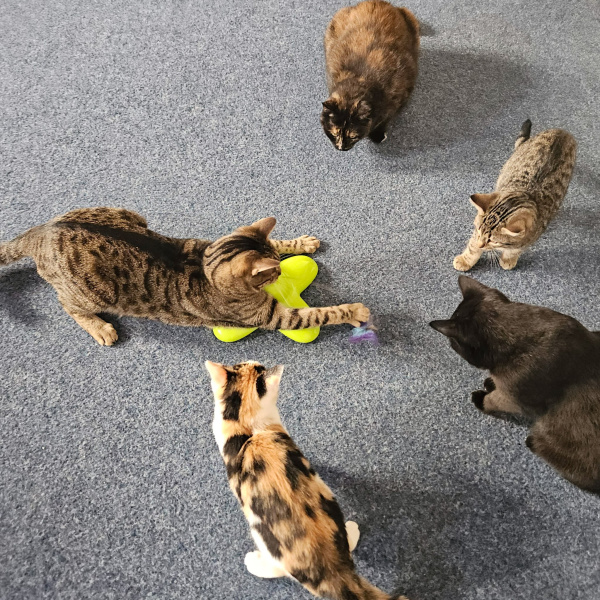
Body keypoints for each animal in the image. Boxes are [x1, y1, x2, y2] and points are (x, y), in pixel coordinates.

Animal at [0, 208, 369, 345]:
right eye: (274, 273)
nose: (279, 271)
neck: (206, 266)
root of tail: (43, 231)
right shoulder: (272, 317)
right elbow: (320, 313)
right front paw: (355, 311)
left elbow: (276, 242)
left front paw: (302, 243)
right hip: (92, 291)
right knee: (66, 304)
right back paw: (100, 328)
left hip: (130, 214)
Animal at [321, 0, 419, 150]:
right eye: (334, 133)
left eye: (352, 136)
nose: (341, 147)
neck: (360, 78)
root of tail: (378, 2)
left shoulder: (400, 97)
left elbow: (385, 120)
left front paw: (377, 135)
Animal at [430, 276, 600, 494]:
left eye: (454, 343)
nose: (450, 345)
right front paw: (490, 382)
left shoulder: (514, 398)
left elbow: (493, 399)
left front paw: (482, 396)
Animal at [454, 119, 577, 271]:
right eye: (478, 229)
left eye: (493, 240)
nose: (481, 244)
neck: (525, 195)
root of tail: (562, 132)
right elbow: (472, 248)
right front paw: (465, 260)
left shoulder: (528, 238)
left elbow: (516, 249)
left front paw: (508, 259)